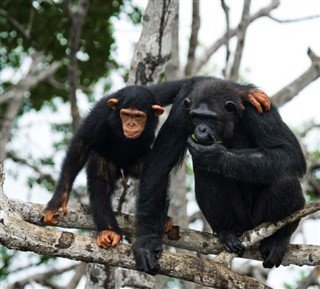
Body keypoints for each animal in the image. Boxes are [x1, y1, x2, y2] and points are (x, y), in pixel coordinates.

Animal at [132, 75, 304, 272]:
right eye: (197, 117)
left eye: (210, 118)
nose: (201, 129)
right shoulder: (181, 113)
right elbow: (159, 165)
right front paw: (146, 242)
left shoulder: (262, 113)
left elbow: (289, 153)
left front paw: (214, 155)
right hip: (240, 221)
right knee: (206, 172)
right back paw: (226, 232)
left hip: (258, 222)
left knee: (285, 181)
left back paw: (278, 240)